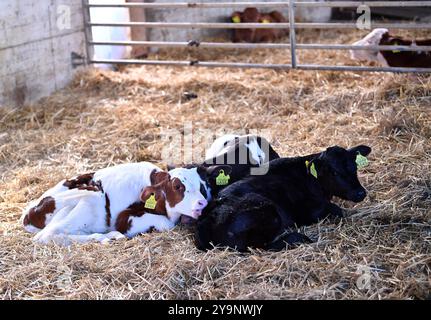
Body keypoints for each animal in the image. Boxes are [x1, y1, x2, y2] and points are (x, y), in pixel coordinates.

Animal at [196, 145, 372, 252]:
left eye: (355, 167)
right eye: (334, 172)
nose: (360, 193)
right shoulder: (308, 212)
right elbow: (338, 210)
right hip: (269, 213)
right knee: (262, 246)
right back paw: (298, 238)